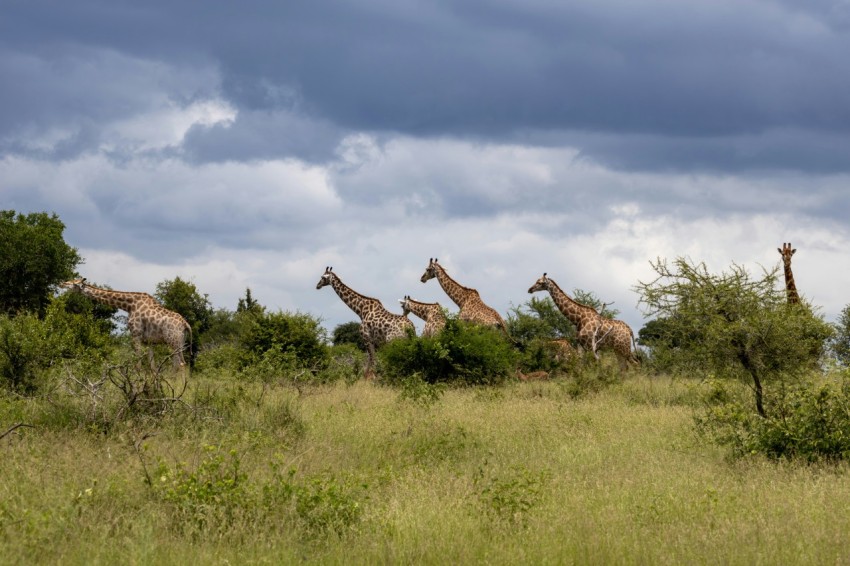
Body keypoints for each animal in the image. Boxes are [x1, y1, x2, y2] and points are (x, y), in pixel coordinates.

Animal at [60, 278, 192, 370]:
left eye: (75, 283)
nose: (62, 283)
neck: (128, 306)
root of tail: (186, 324)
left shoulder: (136, 334)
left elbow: (138, 364)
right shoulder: (149, 342)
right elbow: (152, 367)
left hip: (173, 341)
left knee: (181, 364)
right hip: (179, 342)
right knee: (179, 364)